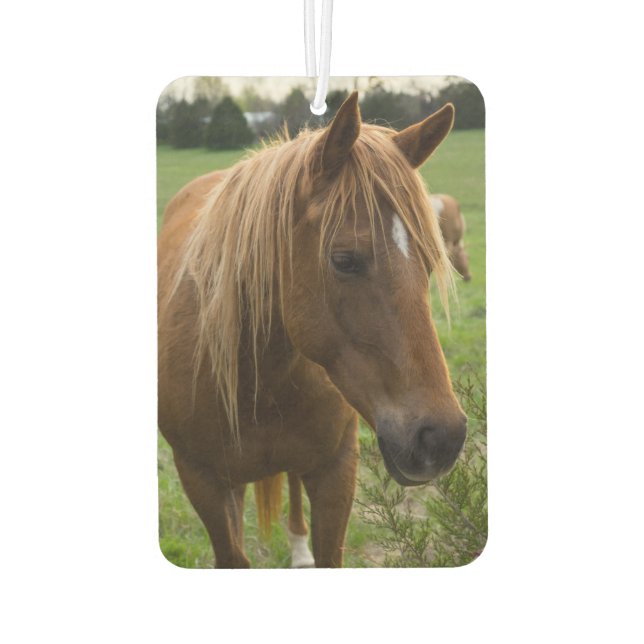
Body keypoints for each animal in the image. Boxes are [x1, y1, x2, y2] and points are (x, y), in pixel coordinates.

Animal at [158, 92, 467, 568]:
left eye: (432, 259)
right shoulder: (201, 479)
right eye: (343, 260)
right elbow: (232, 553)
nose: (441, 438)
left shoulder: (337, 469)